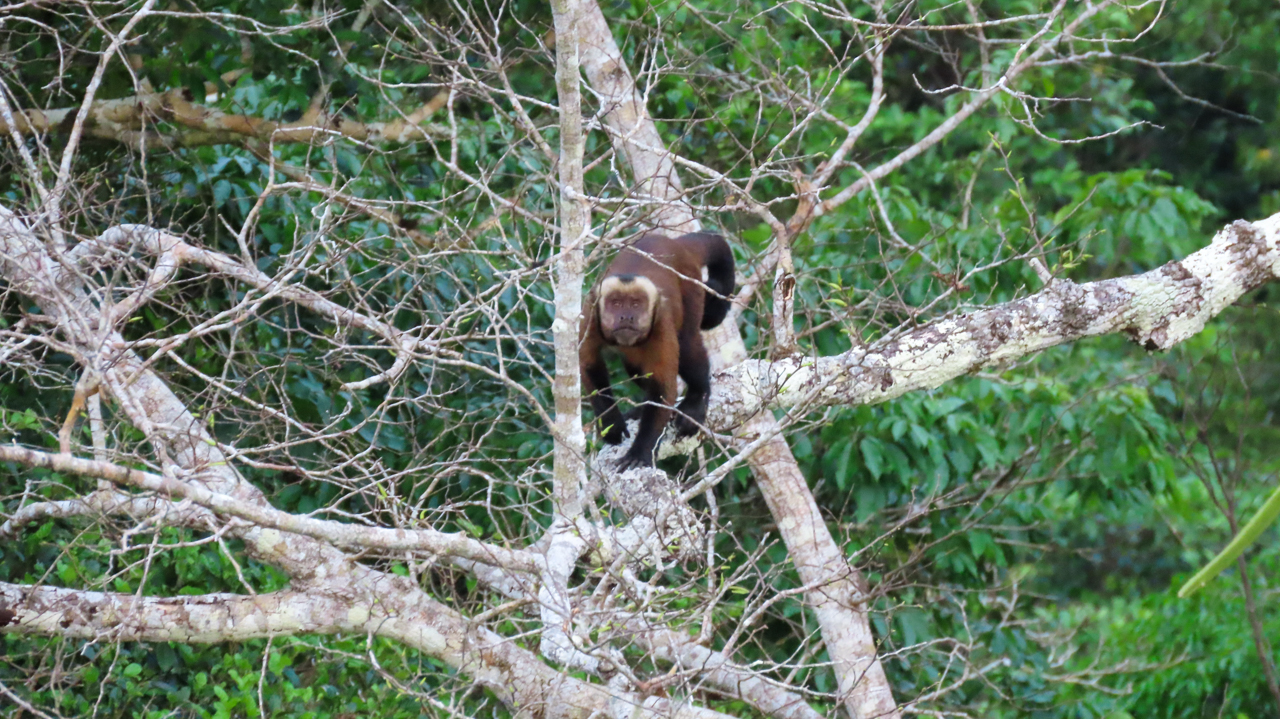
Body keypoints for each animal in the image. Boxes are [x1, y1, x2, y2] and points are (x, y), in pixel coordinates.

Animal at [580, 232, 735, 469]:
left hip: (690, 283)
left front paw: (640, 451)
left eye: (636, 304)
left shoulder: (660, 321)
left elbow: (663, 387)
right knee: (635, 366)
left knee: (687, 344)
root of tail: (676, 243)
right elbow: (589, 365)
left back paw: (698, 397)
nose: (626, 316)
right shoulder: (590, 312)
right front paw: (611, 423)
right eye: (616, 303)